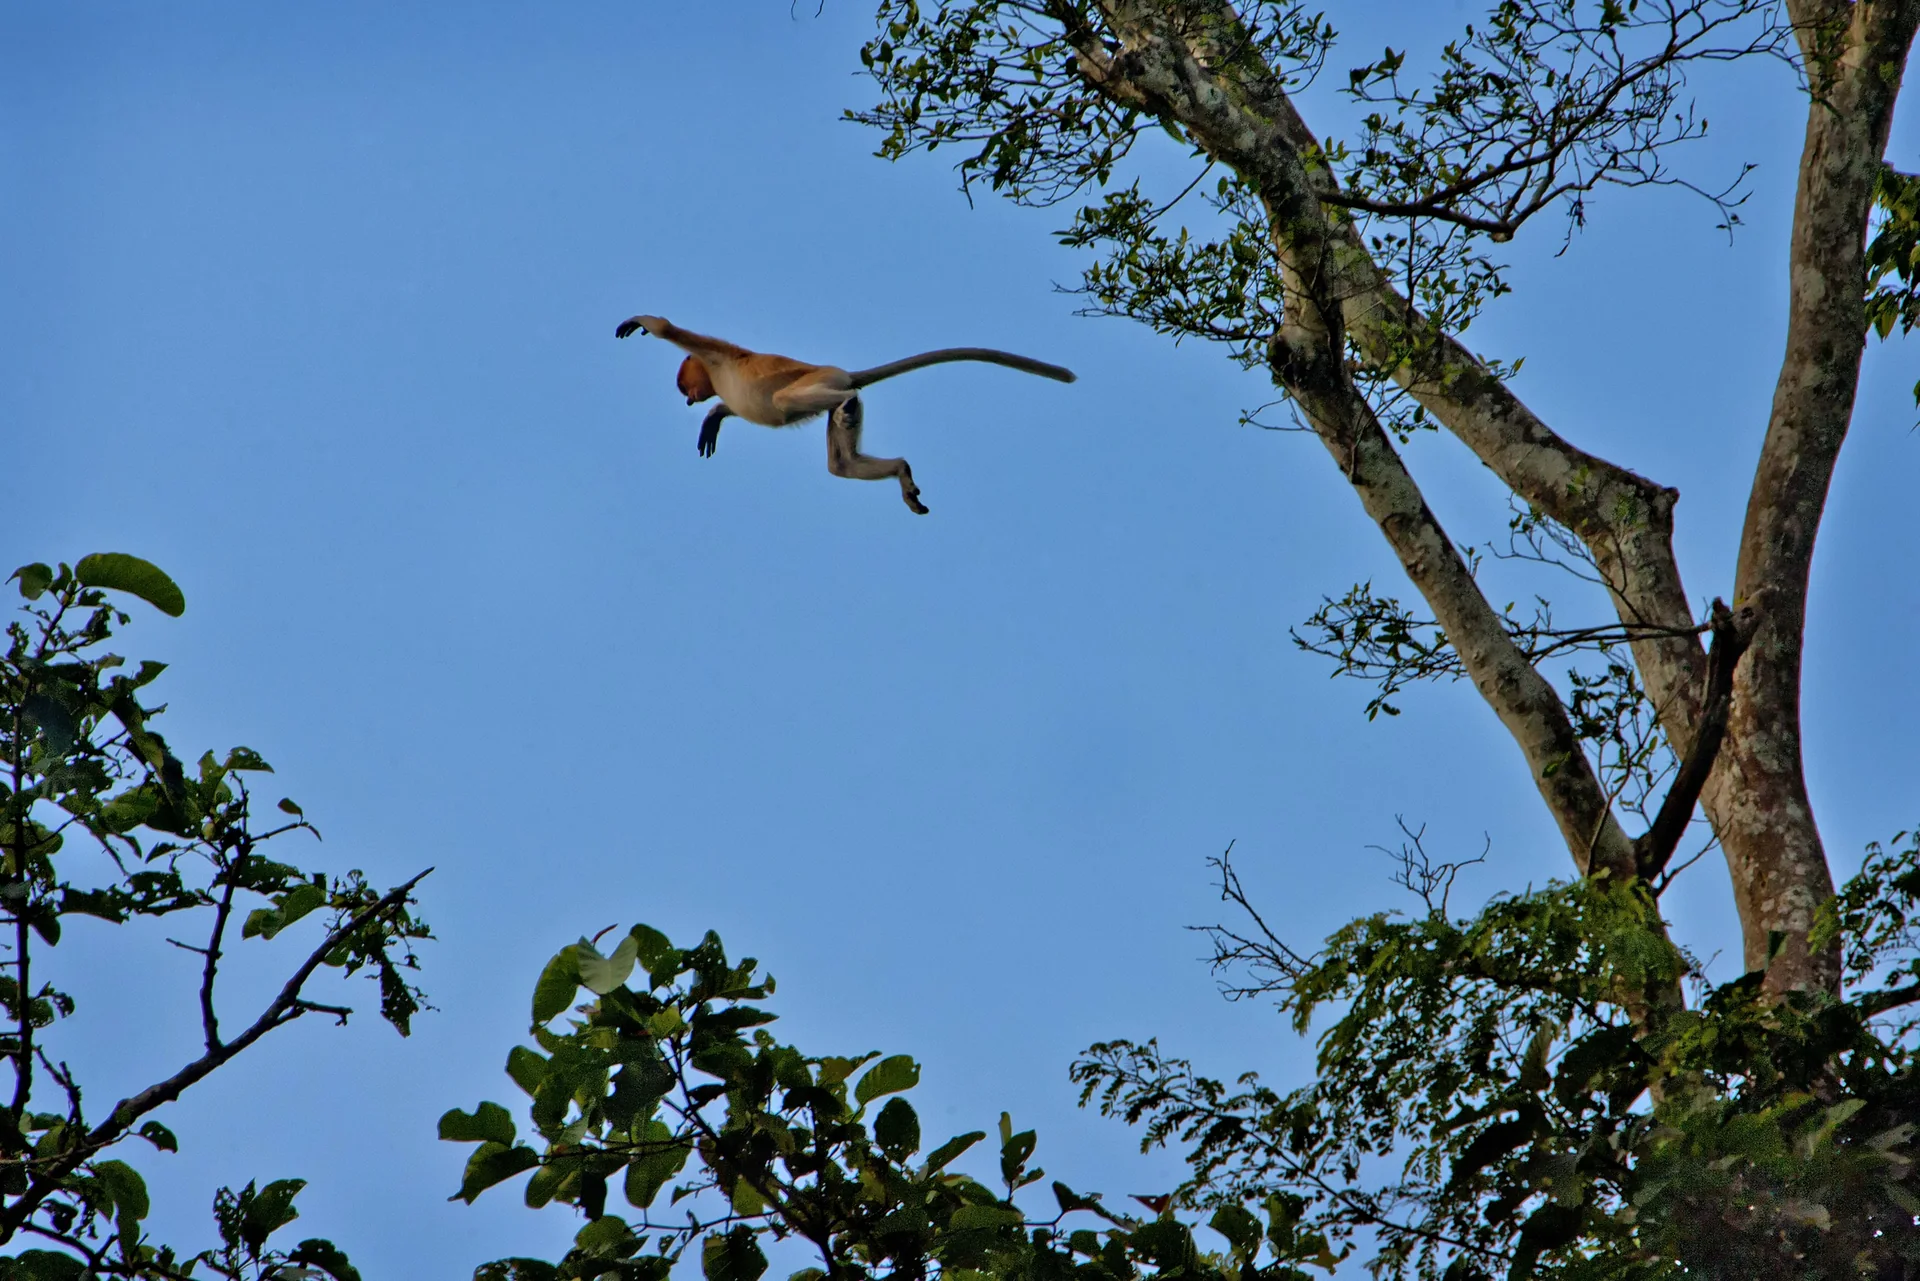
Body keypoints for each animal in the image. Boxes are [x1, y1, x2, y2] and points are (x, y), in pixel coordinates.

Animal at [614, 314, 1075, 514]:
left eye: (685, 386)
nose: (689, 400)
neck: (715, 373)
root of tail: (843, 374)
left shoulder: (717, 354)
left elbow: (671, 329)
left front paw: (640, 323)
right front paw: (715, 415)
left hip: (820, 381)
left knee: (790, 401)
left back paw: (849, 398)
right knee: (842, 464)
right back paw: (900, 470)